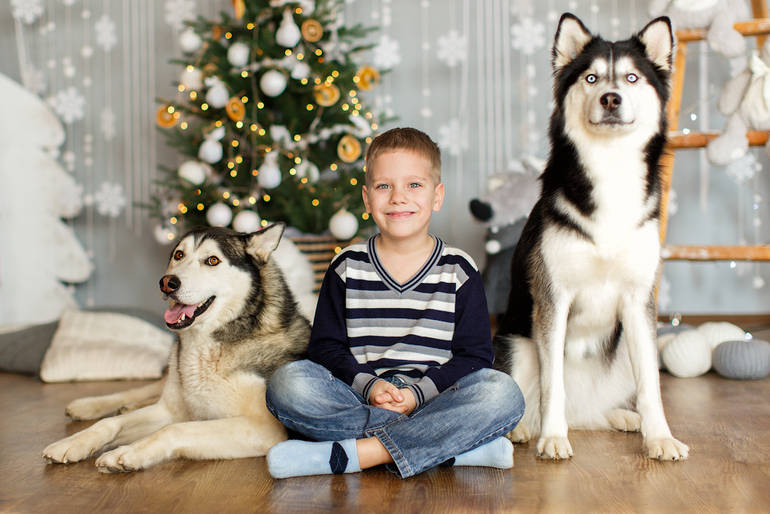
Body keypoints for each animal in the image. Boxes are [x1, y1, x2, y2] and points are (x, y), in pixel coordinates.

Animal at [42, 222, 308, 470]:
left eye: (212, 260)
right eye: (179, 255)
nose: (166, 282)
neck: (206, 343)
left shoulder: (264, 428)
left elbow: (175, 429)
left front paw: (126, 453)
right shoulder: (168, 411)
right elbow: (109, 423)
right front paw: (72, 443)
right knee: (140, 391)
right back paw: (91, 405)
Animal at [488, 13, 688, 460]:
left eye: (632, 77)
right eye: (592, 78)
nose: (611, 98)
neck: (610, 169)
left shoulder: (639, 301)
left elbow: (652, 386)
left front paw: (660, 437)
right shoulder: (552, 299)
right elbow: (553, 384)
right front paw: (552, 437)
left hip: (622, 355)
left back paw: (621, 417)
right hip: (513, 343)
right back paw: (522, 430)